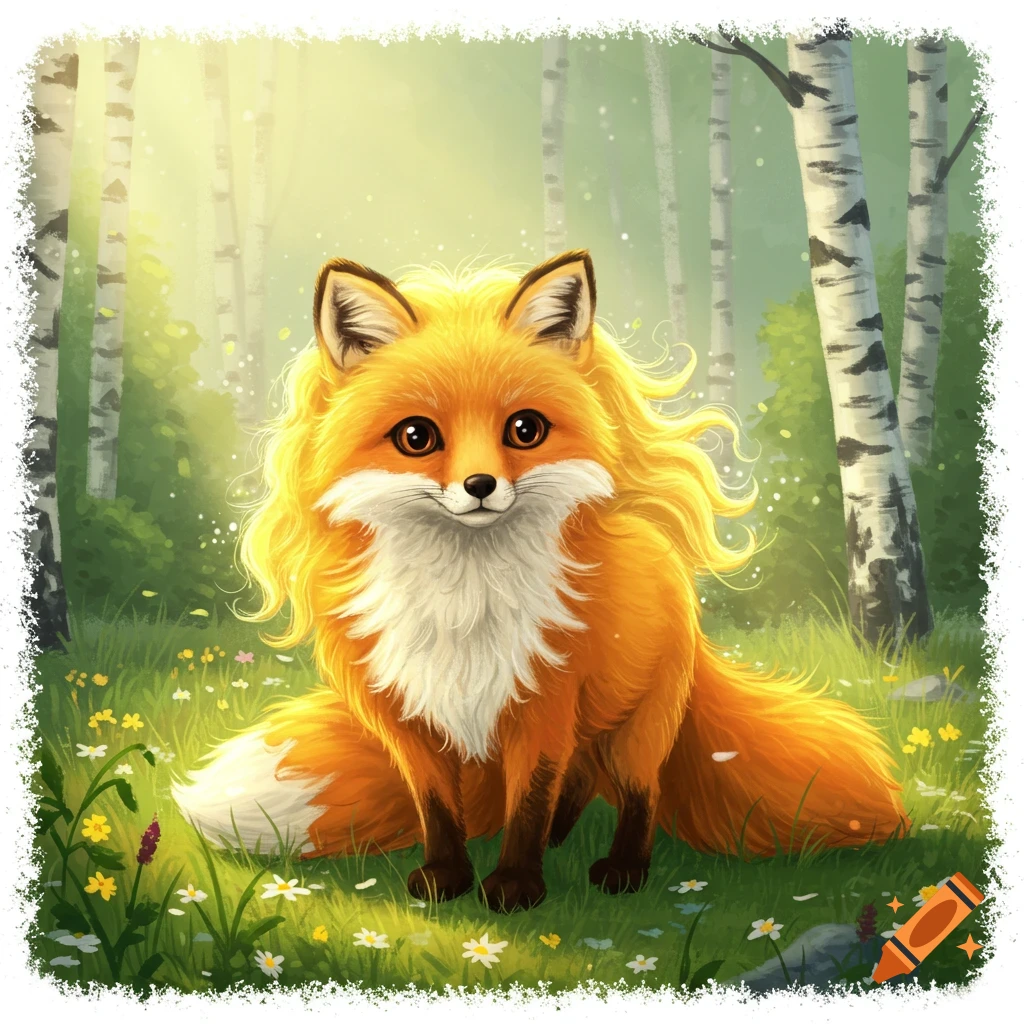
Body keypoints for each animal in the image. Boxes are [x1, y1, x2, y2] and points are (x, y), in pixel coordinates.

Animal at [172, 248, 910, 912]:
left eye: (524, 429)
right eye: (416, 437)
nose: (479, 486)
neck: (463, 600)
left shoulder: (544, 705)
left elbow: (527, 802)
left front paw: (515, 886)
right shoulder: (409, 717)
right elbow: (438, 809)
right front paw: (448, 878)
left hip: (639, 725)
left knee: (637, 791)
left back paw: (620, 868)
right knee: (581, 779)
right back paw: (565, 837)